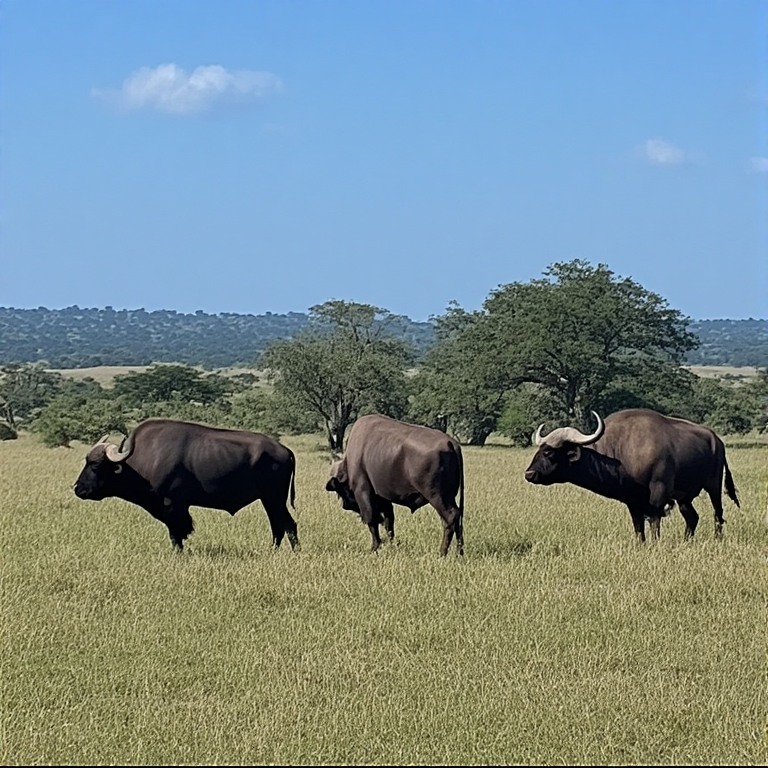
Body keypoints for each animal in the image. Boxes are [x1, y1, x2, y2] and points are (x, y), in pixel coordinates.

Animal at [74, 418, 300, 552]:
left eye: (95, 464)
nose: (77, 488)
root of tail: (284, 450)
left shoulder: (172, 506)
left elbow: (176, 533)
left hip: (273, 499)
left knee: (287, 525)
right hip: (270, 500)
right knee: (280, 526)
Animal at [325, 413, 465, 555]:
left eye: (341, 491)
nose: (345, 505)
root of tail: (451, 443)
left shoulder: (363, 492)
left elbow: (372, 520)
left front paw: (374, 547)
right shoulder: (383, 499)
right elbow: (389, 523)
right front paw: (391, 545)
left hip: (437, 497)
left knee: (451, 517)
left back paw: (442, 553)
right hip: (448, 498)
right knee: (455, 519)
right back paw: (459, 552)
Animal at [524, 408, 740, 542]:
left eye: (548, 452)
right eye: (539, 450)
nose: (529, 474)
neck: (621, 451)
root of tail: (716, 440)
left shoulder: (658, 492)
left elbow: (654, 521)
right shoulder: (632, 499)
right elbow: (638, 525)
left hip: (714, 486)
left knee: (718, 514)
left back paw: (718, 538)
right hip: (684, 497)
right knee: (692, 518)